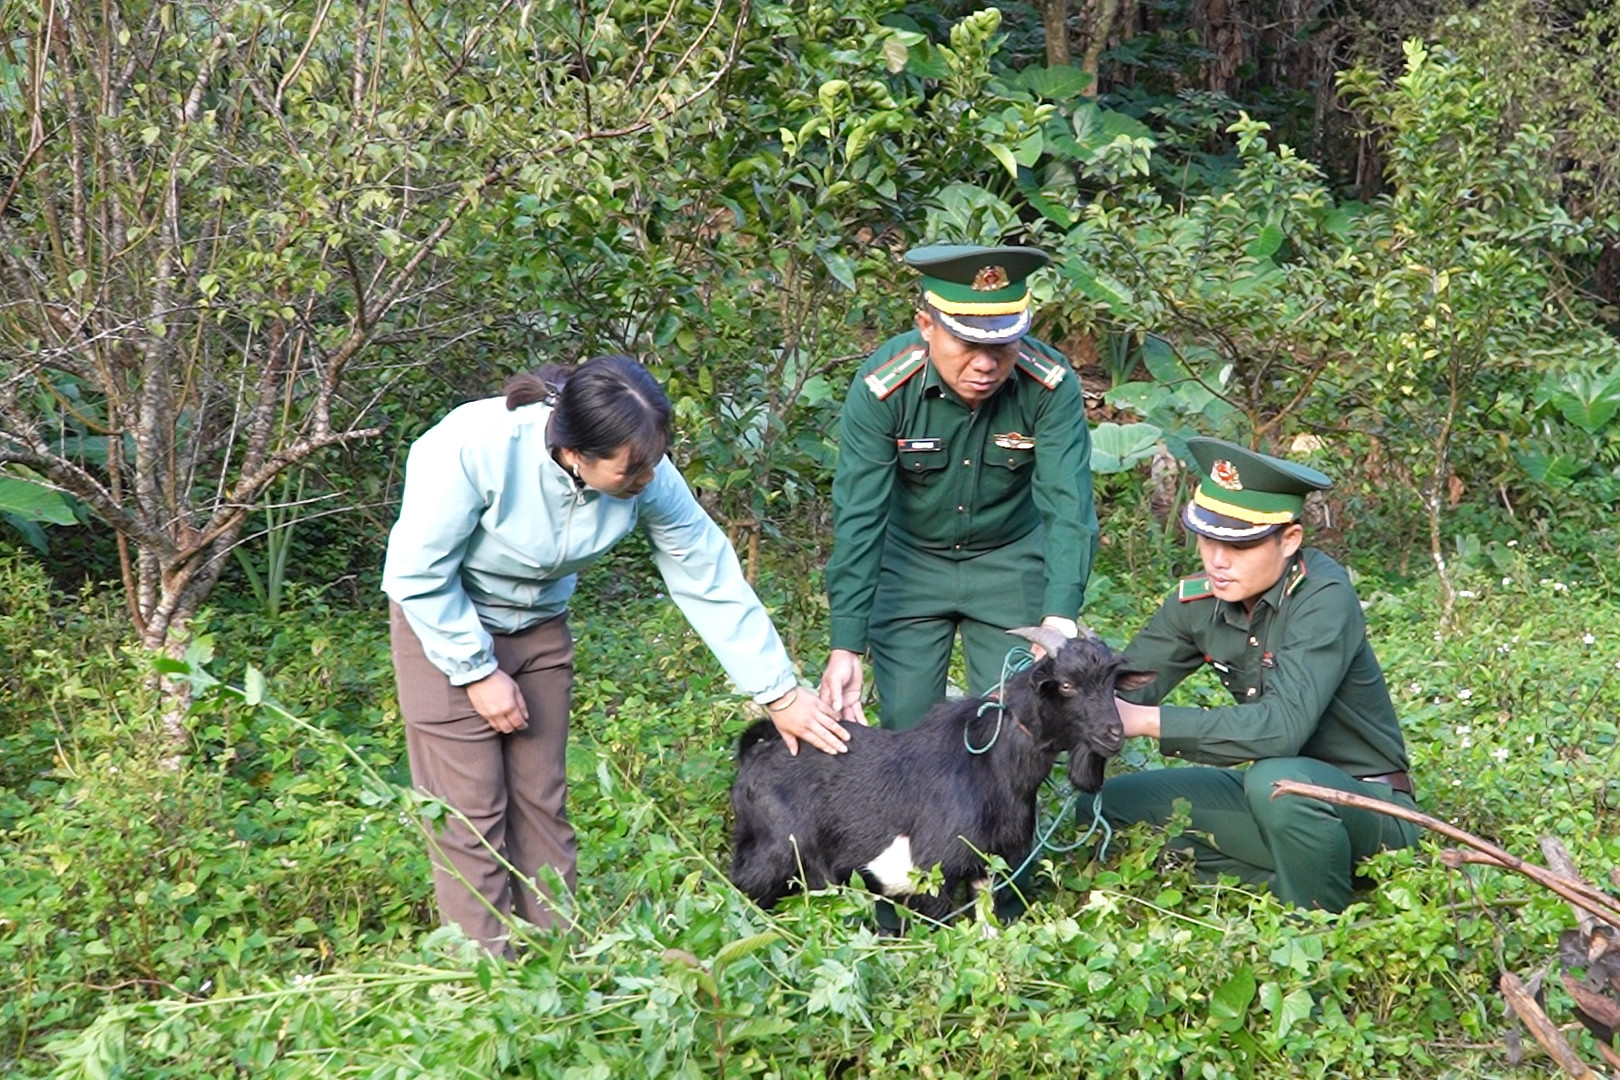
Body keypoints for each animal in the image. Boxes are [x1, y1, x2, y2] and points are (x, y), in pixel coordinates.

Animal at [722, 625, 1153, 919]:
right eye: (1065, 684)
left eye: (1113, 682)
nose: (1113, 734)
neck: (993, 766)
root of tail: (757, 748)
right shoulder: (935, 873)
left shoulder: (988, 866)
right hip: (773, 853)